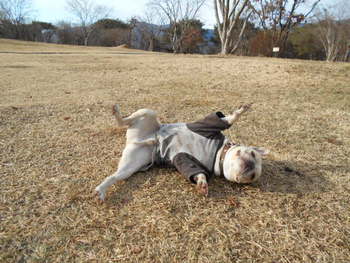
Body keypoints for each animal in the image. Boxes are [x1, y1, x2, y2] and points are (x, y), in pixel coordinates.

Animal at [95, 104, 268, 201]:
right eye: (253, 154)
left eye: (253, 176)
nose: (250, 165)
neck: (219, 154)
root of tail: (141, 139)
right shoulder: (206, 127)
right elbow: (224, 119)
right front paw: (240, 112)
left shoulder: (186, 160)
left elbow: (194, 172)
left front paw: (202, 183)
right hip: (148, 113)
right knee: (124, 121)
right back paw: (117, 112)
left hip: (133, 164)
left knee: (117, 175)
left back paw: (102, 189)